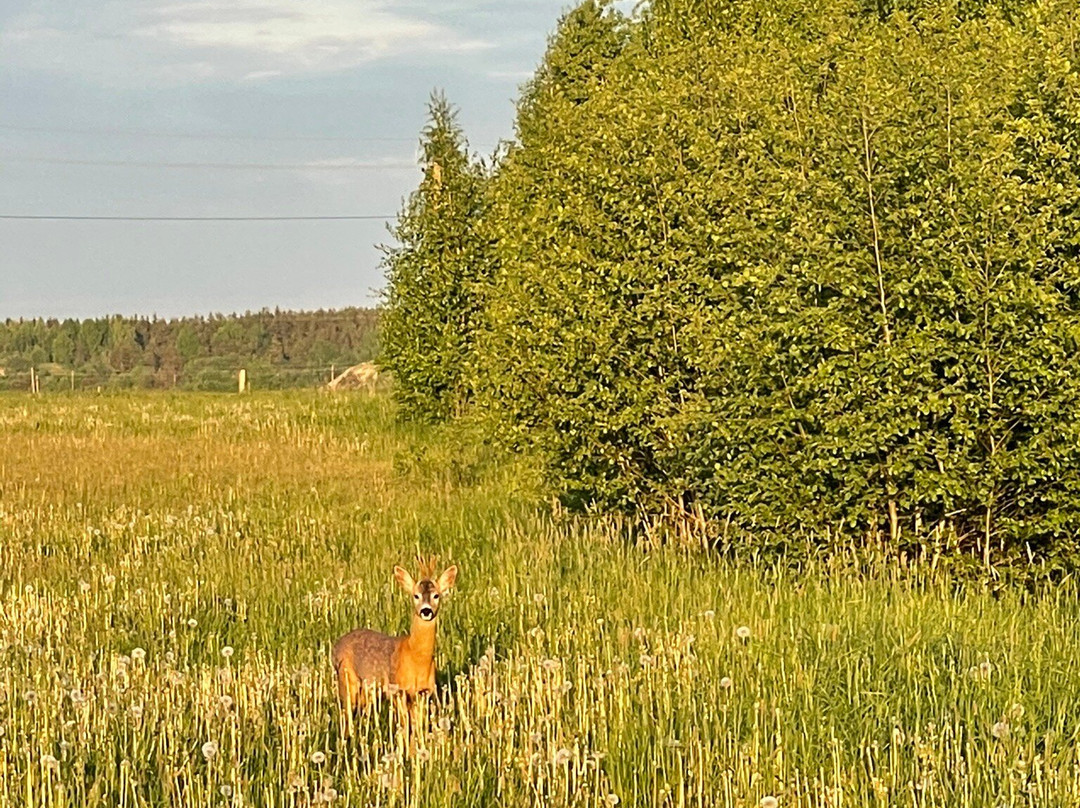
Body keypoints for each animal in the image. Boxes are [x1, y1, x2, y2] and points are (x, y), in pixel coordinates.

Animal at [332, 557, 460, 747]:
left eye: (436, 595)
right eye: (416, 595)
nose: (426, 611)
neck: (416, 657)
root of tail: (335, 646)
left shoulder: (423, 691)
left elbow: (417, 727)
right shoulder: (397, 689)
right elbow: (405, 726)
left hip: (367, 689)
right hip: (347, 679)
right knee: (345, 713)